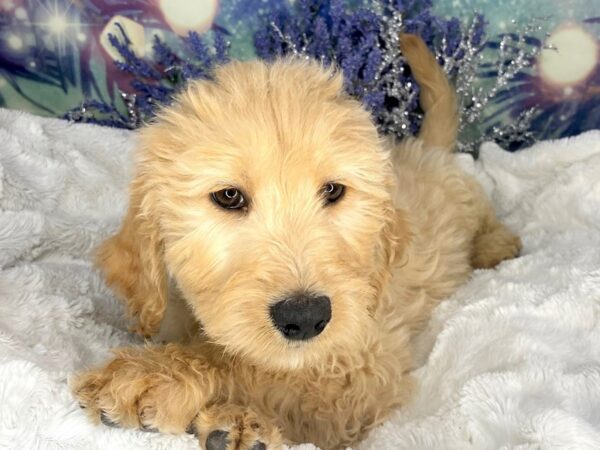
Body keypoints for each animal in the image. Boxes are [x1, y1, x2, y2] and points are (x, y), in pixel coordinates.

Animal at [74, 36, 520, 450]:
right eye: (228, 196)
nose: (305, 317)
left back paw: (498, 244)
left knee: (483, 211)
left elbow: (256, 370)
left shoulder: (359, 379)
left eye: (333, 190)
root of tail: (425, 148)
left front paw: (158, 376)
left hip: (467, 199)